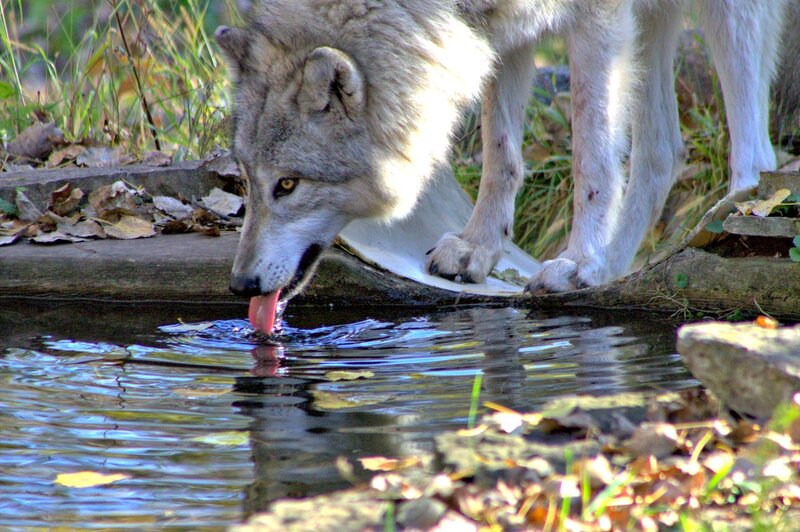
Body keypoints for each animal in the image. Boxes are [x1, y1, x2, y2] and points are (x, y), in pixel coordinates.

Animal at [215, 0, 793, 333]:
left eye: (288, 184)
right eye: (244, 180)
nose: (240, 286)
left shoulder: (597, 15)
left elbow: (592, 154)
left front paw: (579, 262)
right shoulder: (501, 30)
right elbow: (500, 154)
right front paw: (479, 249)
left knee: (753, 155)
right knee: (662, 151)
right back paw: (617, 267)